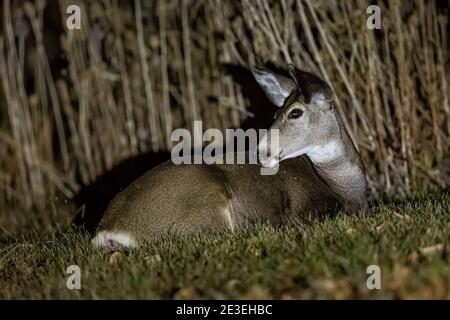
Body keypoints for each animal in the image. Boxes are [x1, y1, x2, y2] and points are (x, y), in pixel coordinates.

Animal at [92, 64, 370, 250]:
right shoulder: (301, 206)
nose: (261, 150)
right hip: (204, 199)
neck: (340, 186)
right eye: (276, 113)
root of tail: (108, 229)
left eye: (294, 112)